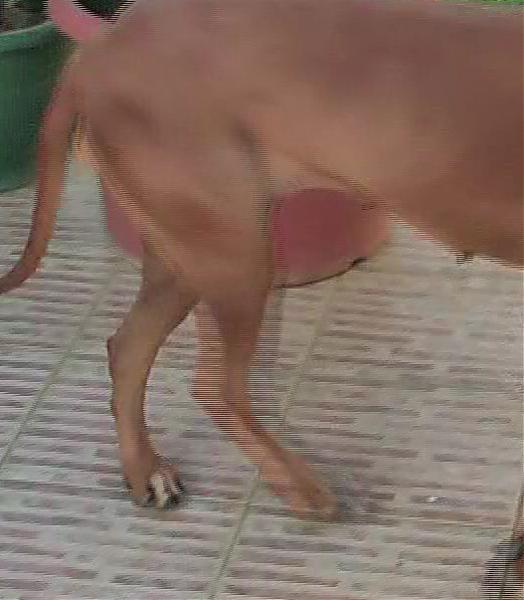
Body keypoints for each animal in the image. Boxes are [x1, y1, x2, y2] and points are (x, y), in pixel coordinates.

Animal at [0, 0, 522, 519]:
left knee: (128, 348)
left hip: (186, 253)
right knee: (217, 388)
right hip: (237, 252)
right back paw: (302, 488)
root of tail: (104, 45)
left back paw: (144, 469)